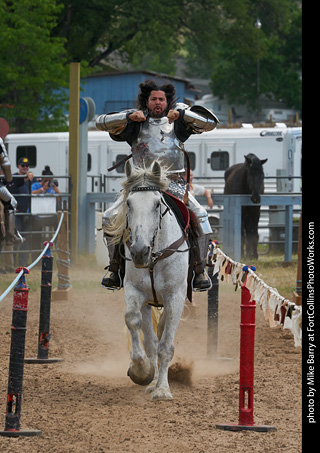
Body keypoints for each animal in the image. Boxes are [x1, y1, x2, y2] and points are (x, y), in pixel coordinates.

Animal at [106, 160, 189, 400]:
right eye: (129, 203)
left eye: (156, 204)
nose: (139, 252)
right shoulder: (135, 292)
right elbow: (135, 325)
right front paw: (142, 372)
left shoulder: (175, 297)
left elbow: (166, 345)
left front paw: (162, 389)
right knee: (152, 337)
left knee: (162, 333)